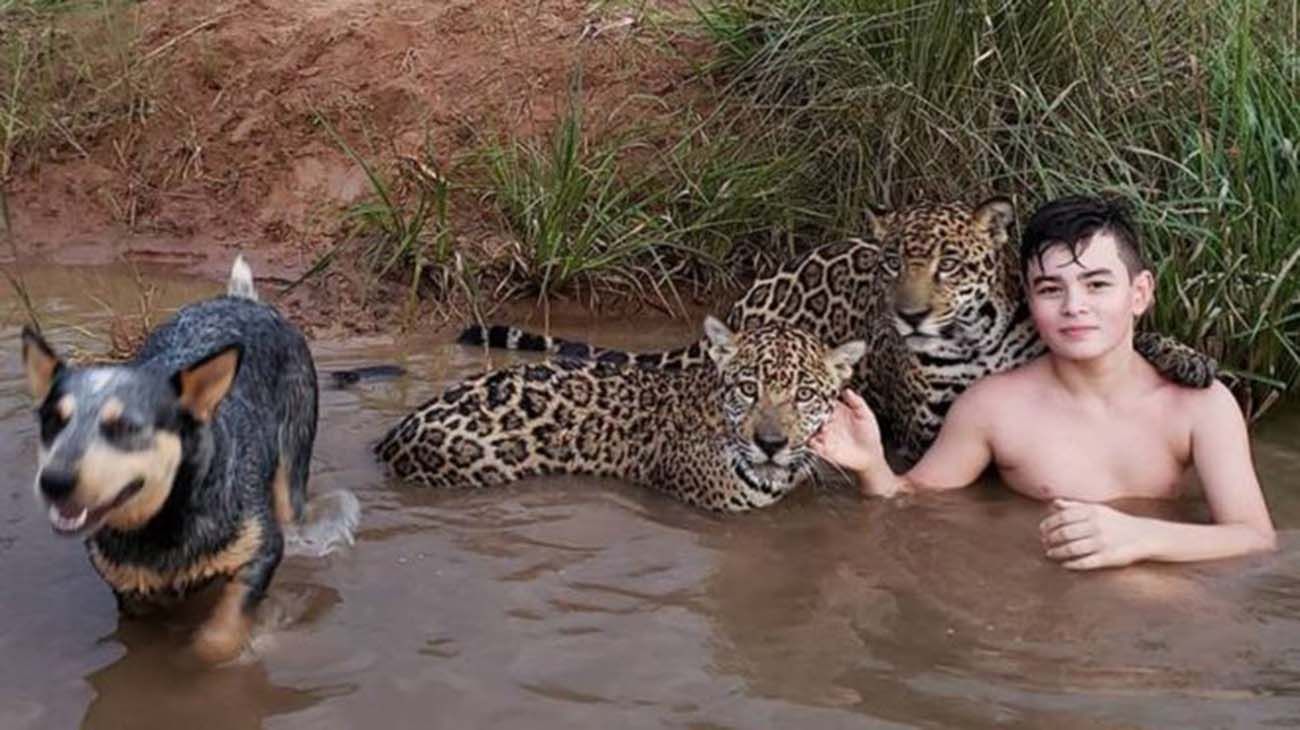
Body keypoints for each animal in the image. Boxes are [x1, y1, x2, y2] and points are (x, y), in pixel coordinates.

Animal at [21, 253, 318, 662]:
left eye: (125, 426)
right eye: (53, 422)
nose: (54, 481)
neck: (161, 524)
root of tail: (242, 299)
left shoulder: (262, 548)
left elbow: (218, 637)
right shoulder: (129, 590)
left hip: (292, 468)